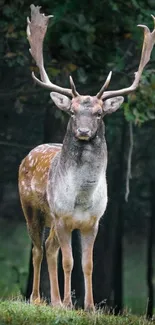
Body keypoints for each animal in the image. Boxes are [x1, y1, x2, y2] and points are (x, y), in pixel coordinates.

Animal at [18, 3, 155, 310]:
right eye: (72, 112)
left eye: (99, 113)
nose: (82, 131)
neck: (81, 198)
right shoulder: (62, 216)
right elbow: (69, 262)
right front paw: (71, 304)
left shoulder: (93, 222)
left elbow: (88, 264)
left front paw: (89, 307)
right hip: (32, 209)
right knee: (37, 249)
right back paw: (38, 298)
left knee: (49, 247)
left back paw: (55, 301)